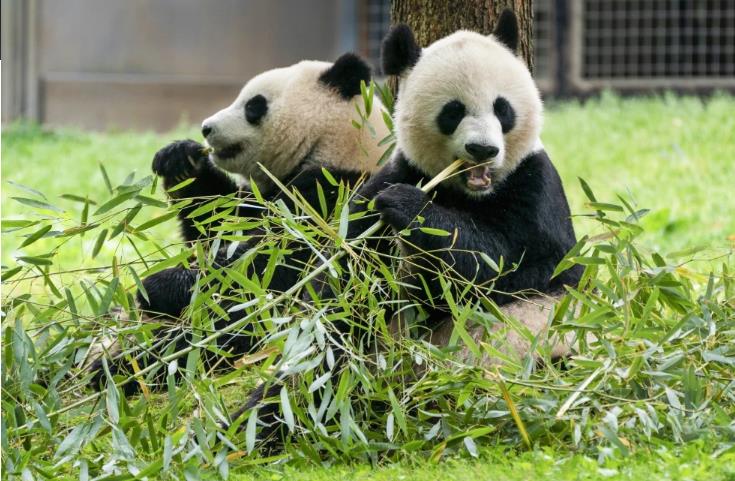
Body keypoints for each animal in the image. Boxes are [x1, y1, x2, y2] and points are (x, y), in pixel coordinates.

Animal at [87, 52, 392, 390]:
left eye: (253, 106)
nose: (206, 128)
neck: (336, 144)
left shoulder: (332, 196)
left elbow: (267, 265)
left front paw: (157, 285)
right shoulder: (263, 194)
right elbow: (216, 223)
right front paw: (180, 159)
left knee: (215, 337)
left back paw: (121, 370)